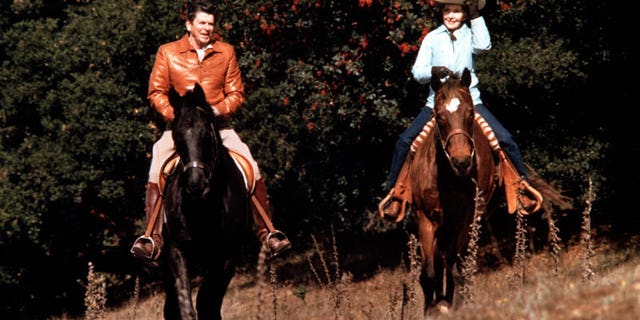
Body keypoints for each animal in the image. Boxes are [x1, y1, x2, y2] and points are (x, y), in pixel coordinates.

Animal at [160, 83, 252, 320]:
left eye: (206, 134)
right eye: (177, 137)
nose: (196, 186)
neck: (203, 209)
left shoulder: (226, 257)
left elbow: (207, 303)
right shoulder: (177, 251)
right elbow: (186, 305)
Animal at [408, 68, 498, 316]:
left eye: (470, 113)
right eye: (439, 117)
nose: (462, 162)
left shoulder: (465, 220)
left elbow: (455, 266)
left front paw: (453, 303)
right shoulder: (426, 219)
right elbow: (428, 274)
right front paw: (430, 309)